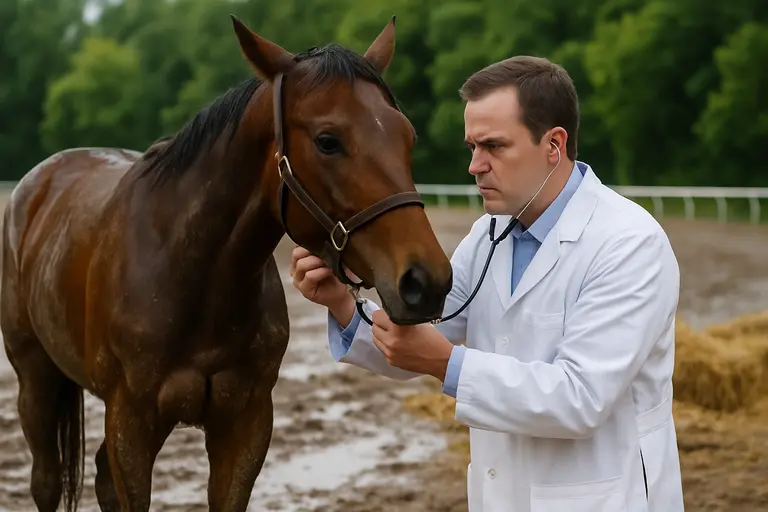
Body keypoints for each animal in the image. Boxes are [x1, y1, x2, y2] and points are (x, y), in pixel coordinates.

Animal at [0, 15, 453, 511]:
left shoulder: (246, 422)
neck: (192, 275)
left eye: (407, 136)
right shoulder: (131, 424)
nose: (426, 281)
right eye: (327, 141)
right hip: (35, 379)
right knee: (45, 480)